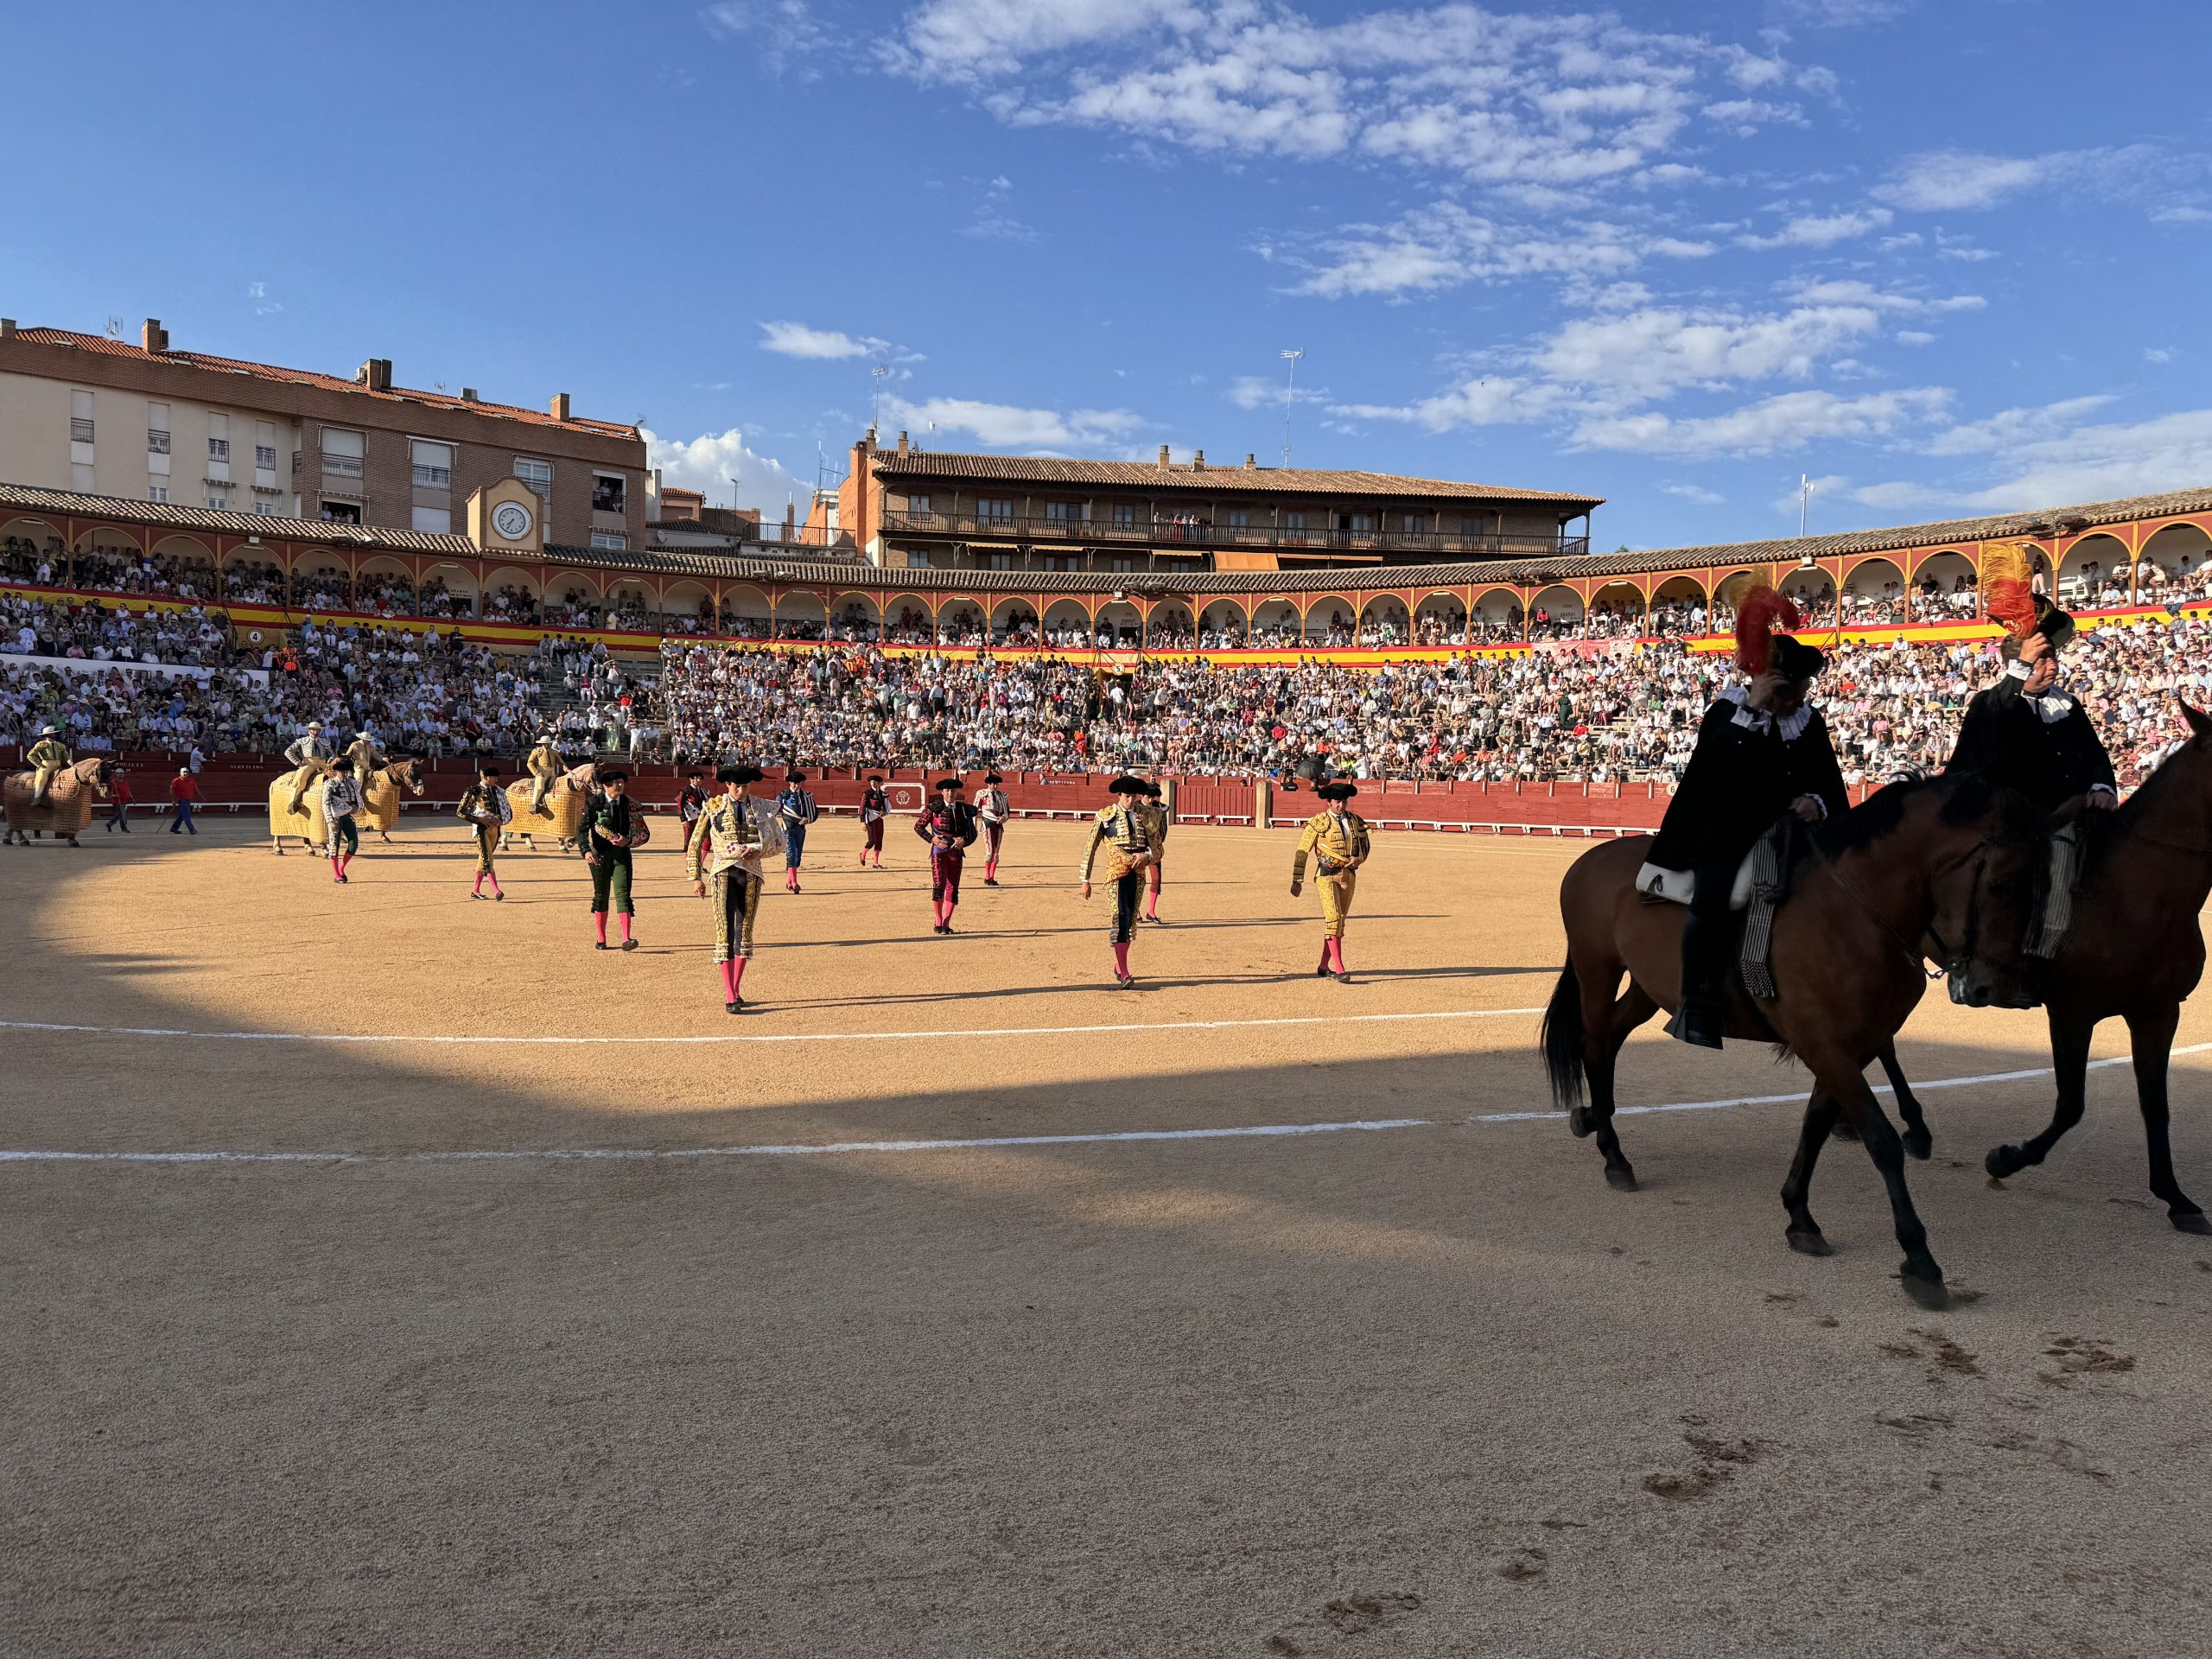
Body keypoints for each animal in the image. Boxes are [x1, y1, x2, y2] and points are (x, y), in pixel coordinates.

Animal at [268, 758, 425, 854]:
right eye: (412, 773)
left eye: (421, 773)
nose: (420, 791)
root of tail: (275, 781)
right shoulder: (380, 812)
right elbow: (382, 827)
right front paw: (383, 838)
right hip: (278, 814)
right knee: (277, 831)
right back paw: (278, 848)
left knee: (304, 834)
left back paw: (309, 849)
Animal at [1540, 772, 2048, 1307]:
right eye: (2002, 882)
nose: (2004, 988)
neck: (1854, 912)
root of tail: (1588, 861)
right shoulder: (1827, 1045)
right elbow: (1880, 1139)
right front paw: (1921, 1261)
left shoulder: (1849, 1045)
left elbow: (1816, 1124)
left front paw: (1800, 1216)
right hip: (1597, 970)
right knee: (1594, 1045)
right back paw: (1614, 1155)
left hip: (1648, 987)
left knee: (1611, 1039)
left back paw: (1594, 1120)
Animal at [1869, 701, 2212, 1236]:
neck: (2136, 895)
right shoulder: (2073, 1012)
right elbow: (2071, 1104)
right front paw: (2005, 1159)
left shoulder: (2158, 1012)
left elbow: (2156, 1105)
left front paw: (2176, 1198)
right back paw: (1912, 1126)